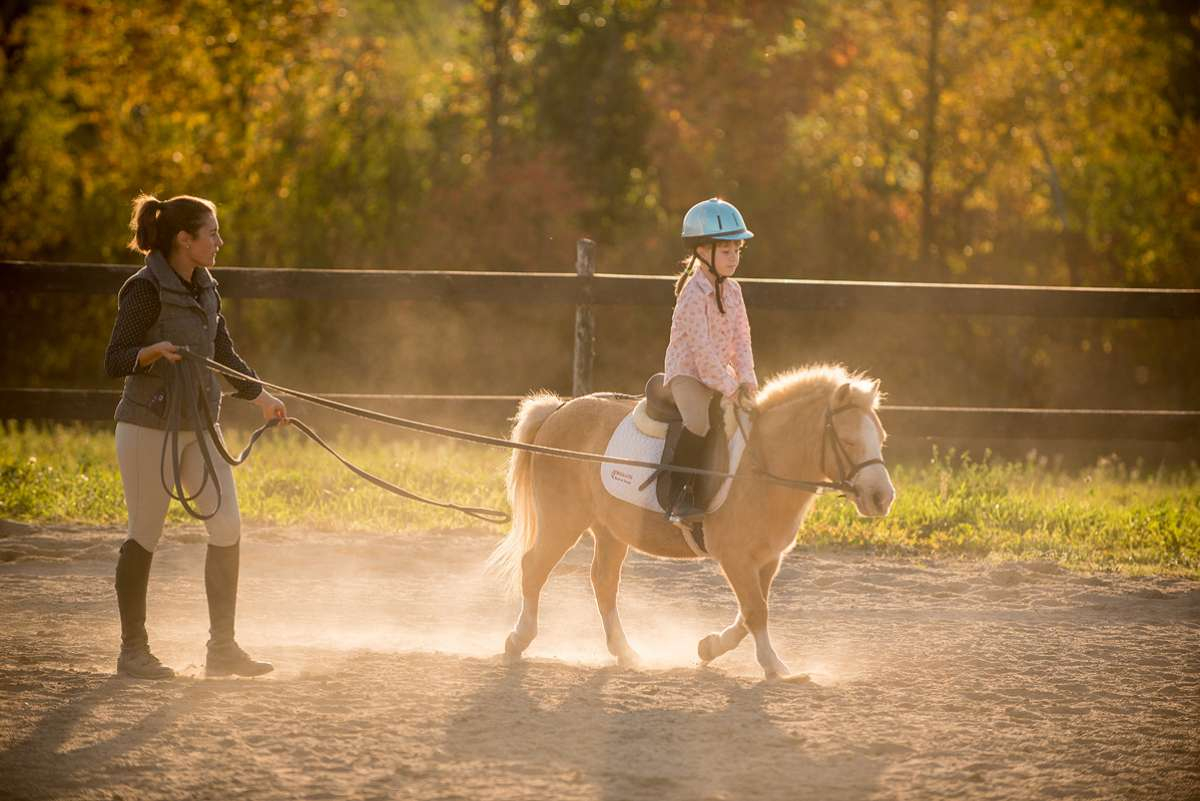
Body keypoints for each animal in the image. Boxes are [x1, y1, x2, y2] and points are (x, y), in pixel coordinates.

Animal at [487, 366, 892, 681]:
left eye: (882, 438)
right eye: (849, 441)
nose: (882, 498)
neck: (759, 465)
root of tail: (559, 409)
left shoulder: (766, 559)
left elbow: (750, 612)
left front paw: (709, 647)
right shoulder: (735, 557)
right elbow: (755, 611)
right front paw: (776, 668)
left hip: (611, 530)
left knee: (603, 582)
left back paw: (625, 652)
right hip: (563, 520)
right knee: (534, 567)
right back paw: (518, 640)